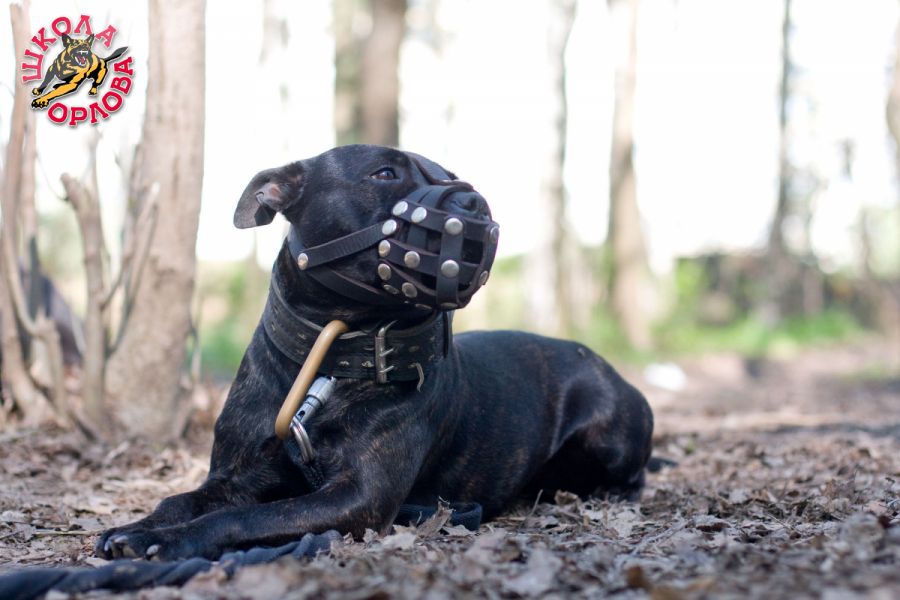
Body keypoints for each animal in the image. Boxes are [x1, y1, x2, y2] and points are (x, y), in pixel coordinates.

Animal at [96, 145, 654, 561]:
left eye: (454, 176)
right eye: (384, 173)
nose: (475, 203)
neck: (328, 361)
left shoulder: (358, 497)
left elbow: (245, 516)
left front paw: (168, 542)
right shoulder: (236, 476)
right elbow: (182, 499)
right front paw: (140, 526)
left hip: (609, 435)